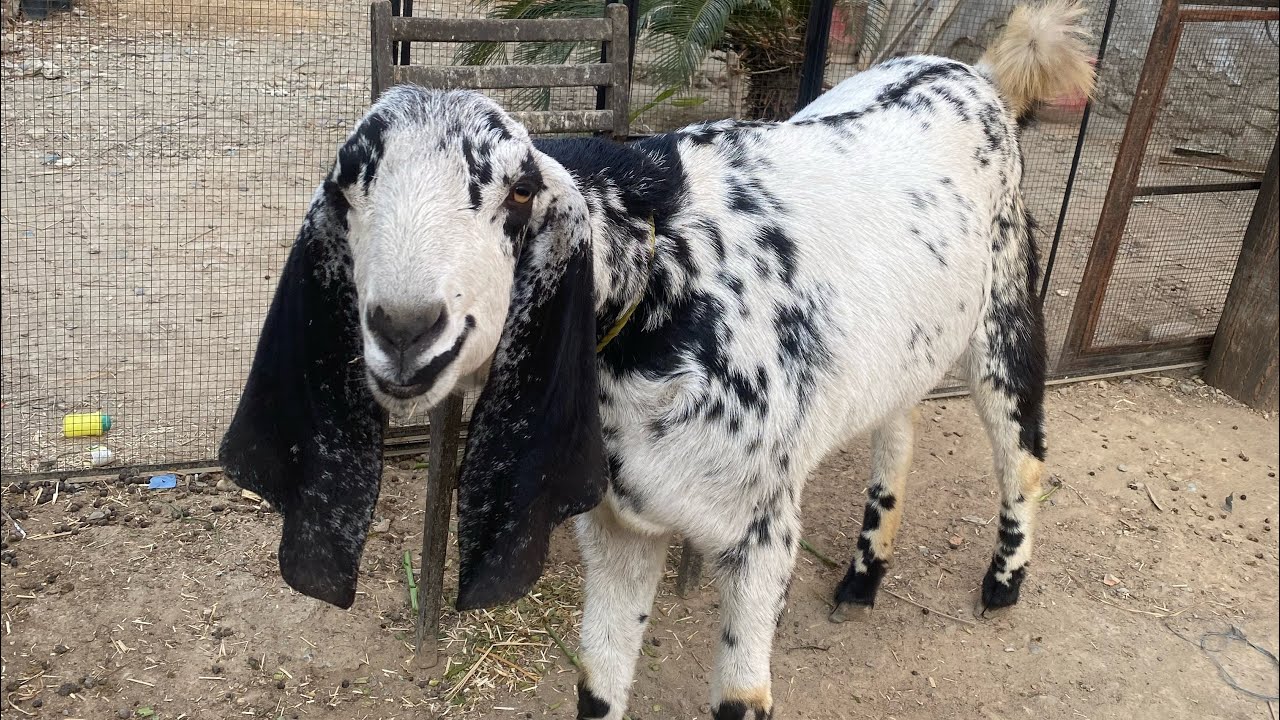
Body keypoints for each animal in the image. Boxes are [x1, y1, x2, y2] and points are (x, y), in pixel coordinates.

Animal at [219, 3, 1095, 718]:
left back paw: (1002, 584)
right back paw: (861, 577)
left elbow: (742, 700)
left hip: (1004, 308)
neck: (665, 282)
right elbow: (597, 687)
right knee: (899, 431)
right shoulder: (618, 528)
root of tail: (978, 75)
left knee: (1024, 455)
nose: (406, 329)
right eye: (346, 190)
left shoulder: (762, 537)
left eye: (520, 192)